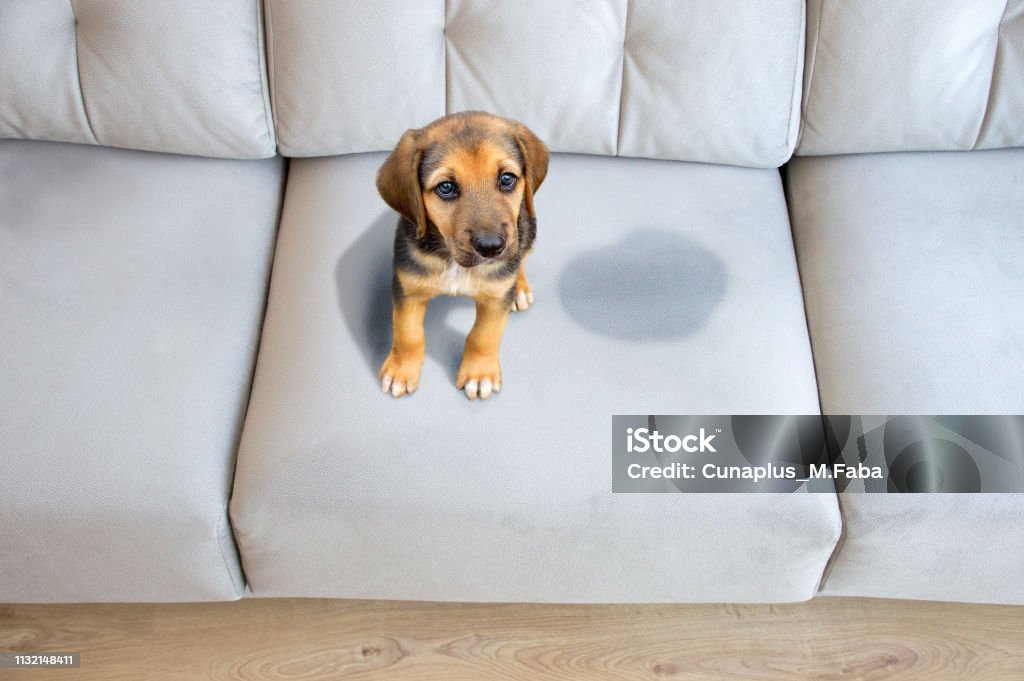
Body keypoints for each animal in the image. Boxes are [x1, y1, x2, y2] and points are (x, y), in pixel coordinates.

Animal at [376, 111, 548, 399]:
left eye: (507, 179)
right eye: (446, 187)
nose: (491, 247)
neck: (454, 262)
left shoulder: (495, 299)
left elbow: (484, 336)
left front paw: (479, 374)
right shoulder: (407, 289)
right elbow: (407, 334)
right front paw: (402, 369)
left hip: (528, 228)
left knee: (521, 255)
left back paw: (520, 289)